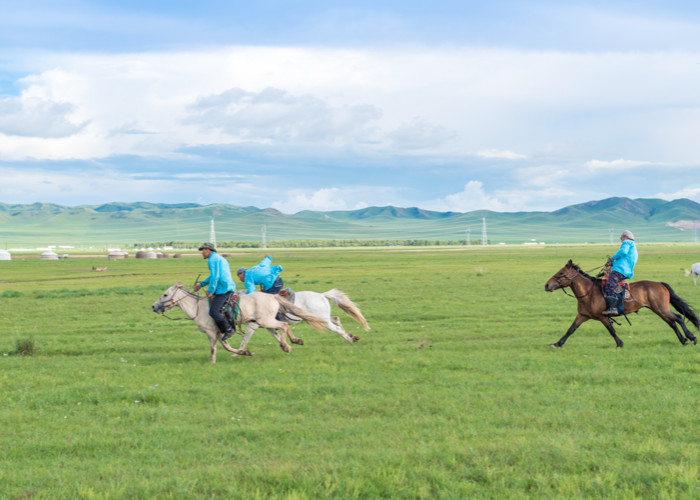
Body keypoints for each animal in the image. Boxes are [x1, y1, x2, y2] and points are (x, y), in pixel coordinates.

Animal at [152, 282, 326, 364]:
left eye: (165, 294)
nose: (154, 306)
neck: (197, 308)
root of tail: (272, 296)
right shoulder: (219, 333)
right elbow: (226, 347)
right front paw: (245, 352)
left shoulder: (211, 332)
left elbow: (214, 348)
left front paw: (212, 362)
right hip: (267, 321)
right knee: (284, 326)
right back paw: (293, 342)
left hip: (265, 321)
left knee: (284, 325)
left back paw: (286, 346)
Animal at [544, 262, 696, 348]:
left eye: (561, 273)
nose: (546, 285)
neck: (589, 293)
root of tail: (660, 284)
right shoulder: (582, 316)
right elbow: (570, 330)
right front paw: (557, 343)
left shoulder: (602, 317)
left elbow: (611, 330)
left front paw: (619, 344)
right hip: (659, 310)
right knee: (672, 323)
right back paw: (683, 340)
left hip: (661, 309)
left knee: (678, 318)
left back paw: (691, 337)